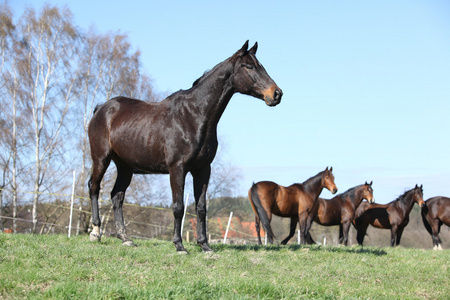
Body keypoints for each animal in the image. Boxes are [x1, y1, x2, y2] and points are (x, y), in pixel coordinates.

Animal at [88, 41, 282, 253]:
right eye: (248, 66)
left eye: (260, 65)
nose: (276, 94)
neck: (193, 116)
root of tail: (101, 108)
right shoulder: (177, 168)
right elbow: (178, 207)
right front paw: (179, 245)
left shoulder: (203, 169)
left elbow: (201, 207)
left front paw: (204, 245)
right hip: (101, 159)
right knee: (94, 187)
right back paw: (95, 232)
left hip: (125, 167)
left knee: (117, 196)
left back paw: (125, 238)